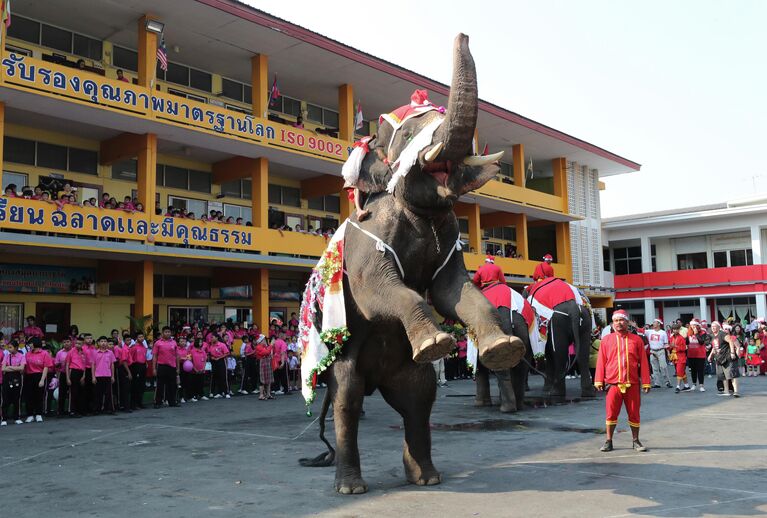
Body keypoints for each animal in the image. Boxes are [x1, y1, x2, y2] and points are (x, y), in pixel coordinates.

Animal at [300, 32, 528, 496]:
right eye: (408, 134)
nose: (463, 34)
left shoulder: (450, 239)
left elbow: (451, 289)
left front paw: (502, 349)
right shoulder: (367, 241)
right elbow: (377, 292)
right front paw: (439, 343)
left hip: (407, 375)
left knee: (420, 399)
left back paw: (426, 477)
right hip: (346, 364)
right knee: (347, 400)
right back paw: (351, 486)